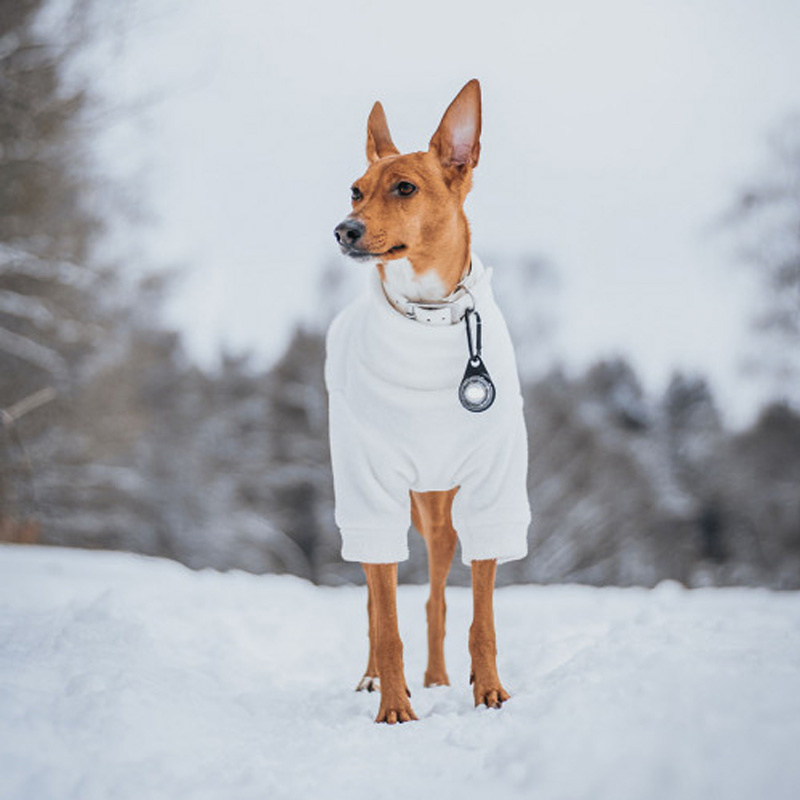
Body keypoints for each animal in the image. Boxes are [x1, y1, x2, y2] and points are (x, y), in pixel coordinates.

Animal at [324, 81, 532, 724]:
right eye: (356, 189)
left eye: (405, 188)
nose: (344, 229)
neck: (428, 316)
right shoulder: (370, 488)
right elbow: (385, 618)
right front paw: (394, 706)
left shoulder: (492, 487)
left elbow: (481, 618)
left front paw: (489, 691)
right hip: (383, 502)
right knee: (377, 600)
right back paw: (375, 678)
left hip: (440, 512)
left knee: (437, 598)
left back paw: (439, 677)